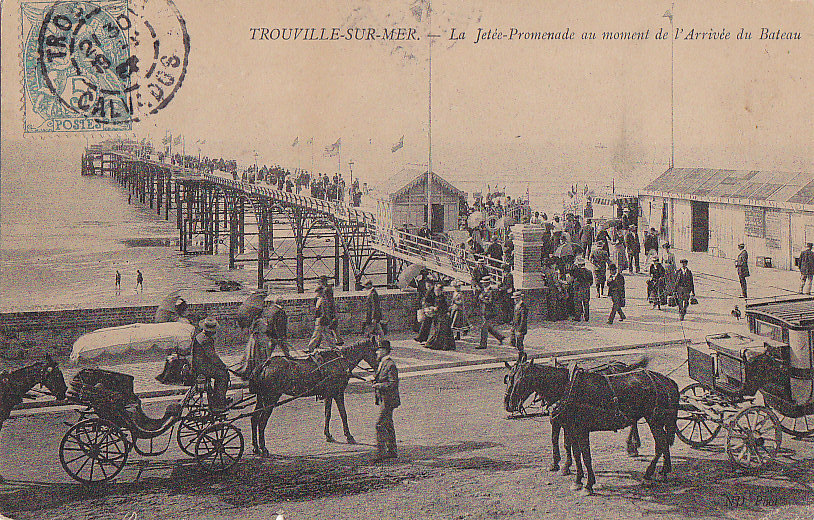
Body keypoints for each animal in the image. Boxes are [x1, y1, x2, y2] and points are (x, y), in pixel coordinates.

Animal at [249, 338, 380, 456]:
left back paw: (256, 447)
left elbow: (328, 414)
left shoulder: (329, 394)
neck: (340, 362)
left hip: (261, 398)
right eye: (376, 351)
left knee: (254, 418)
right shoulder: (338, 393)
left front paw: (328, 435)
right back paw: (263, 448)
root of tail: (265, 364)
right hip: (270, 399)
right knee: (261, 422)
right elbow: (343, 414)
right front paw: (349, 436)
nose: (380, 369)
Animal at [506, 358, 680, 496]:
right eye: (508, 378)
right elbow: (575, 453)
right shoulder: (571, 427)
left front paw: (588, 485)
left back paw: (648, 473)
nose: (509, 404)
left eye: (522, 379)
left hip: (654, 419)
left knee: (661, 444)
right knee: (664, 442)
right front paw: (577, 479)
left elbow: (586, 456)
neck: (568, 387)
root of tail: (666, 381)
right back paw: (663, 470)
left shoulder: (581, 429)